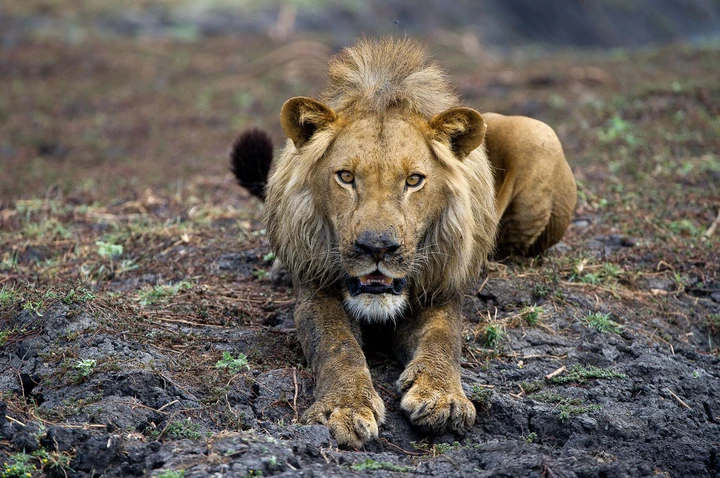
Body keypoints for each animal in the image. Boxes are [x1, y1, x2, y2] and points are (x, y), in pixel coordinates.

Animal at [230, 38, 576, 448]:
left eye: (413, 180)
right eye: (346, 177)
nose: (377, 248)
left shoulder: (441, 292)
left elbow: (443, 340)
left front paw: (443, 397)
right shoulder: (315, 290)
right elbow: (335, 343)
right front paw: (344, 406)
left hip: (540, 135)